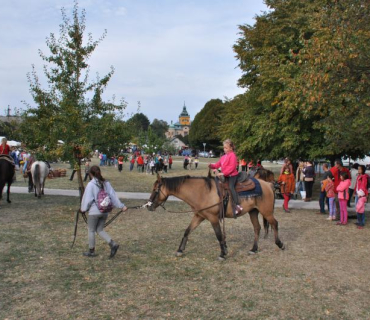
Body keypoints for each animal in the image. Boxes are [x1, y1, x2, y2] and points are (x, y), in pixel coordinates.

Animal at [147, 174, 284, 262]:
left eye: (155, 190)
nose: (148, 206)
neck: (202, 192)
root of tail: (268, 184)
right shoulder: (199, 216)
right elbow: (187, 231)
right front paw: (180, 250)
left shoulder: (213, 218)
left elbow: (219, 235)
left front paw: (223, 254)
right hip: (253, 212)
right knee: (257, 228)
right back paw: (254, 249)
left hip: (266, 212)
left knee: (275, 223)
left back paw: (280, 244)